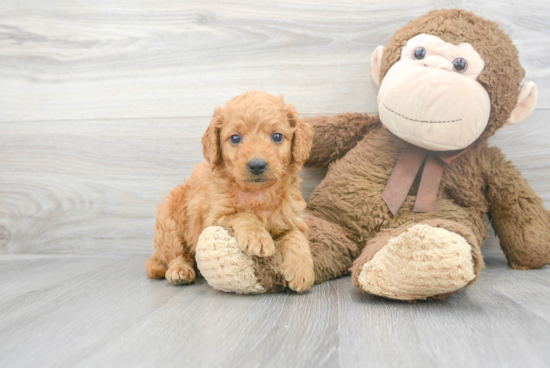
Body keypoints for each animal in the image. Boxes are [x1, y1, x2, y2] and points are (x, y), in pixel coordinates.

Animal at [144, 92, 316, 294]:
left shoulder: (292, 218)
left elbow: (296, 237)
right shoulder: (213, 217)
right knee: (176, 254)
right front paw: (257, 236)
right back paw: (180, 271)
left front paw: (301, 271)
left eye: (277, 136)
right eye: (235, 138)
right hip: (169, 223)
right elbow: (242, 214)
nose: (257, 165)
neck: (258, 194)